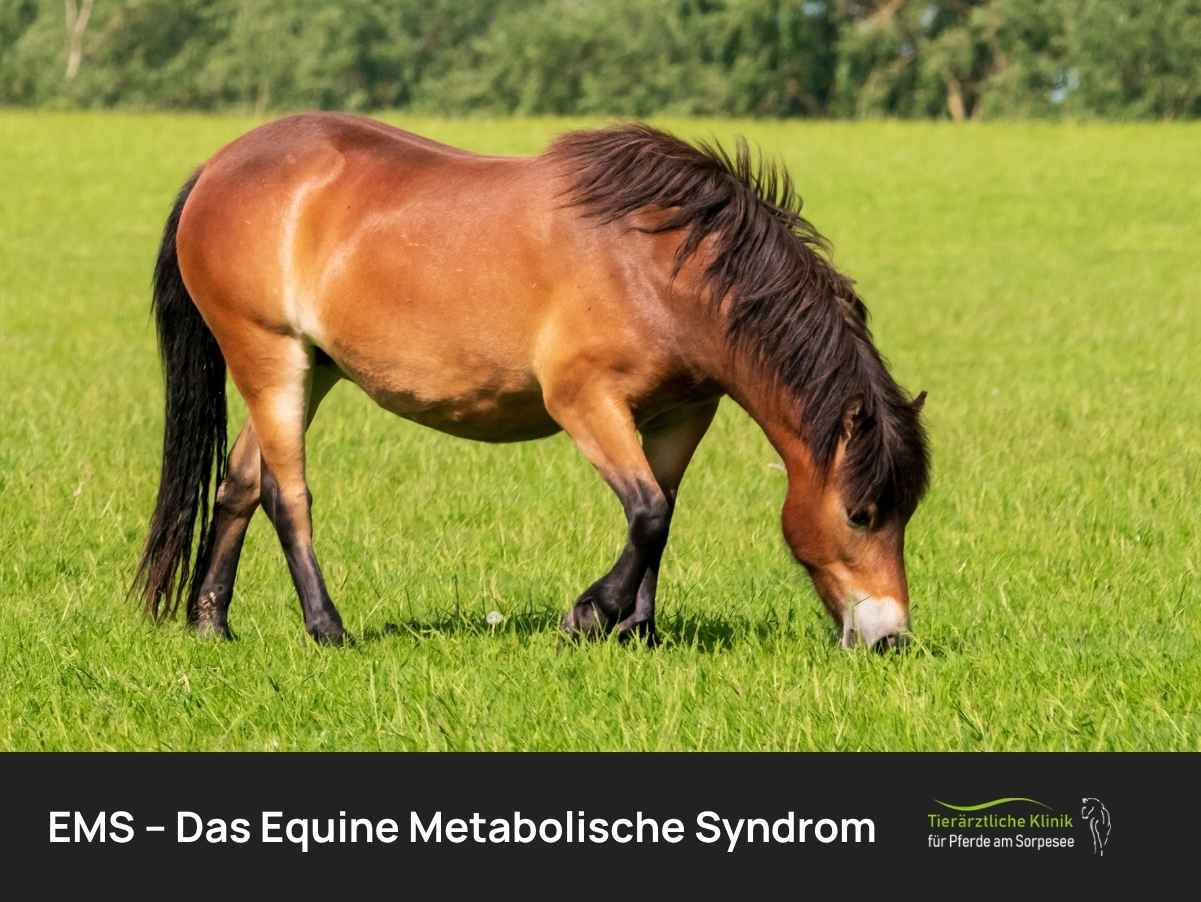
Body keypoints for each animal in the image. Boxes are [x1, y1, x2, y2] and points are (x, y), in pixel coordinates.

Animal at [133, 113, 930, 650]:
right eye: (862, 514)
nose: (890, 638)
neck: (664, 266)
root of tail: (218, 167)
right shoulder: (585, 402)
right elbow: (647, 513)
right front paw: (587, 618)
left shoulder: (681, 414)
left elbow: (662, 515)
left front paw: (638, 632)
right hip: (267, 356)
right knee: (285, 495)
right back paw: (327, 628)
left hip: (311, 367)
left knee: (239, 484)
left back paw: (210, 623)